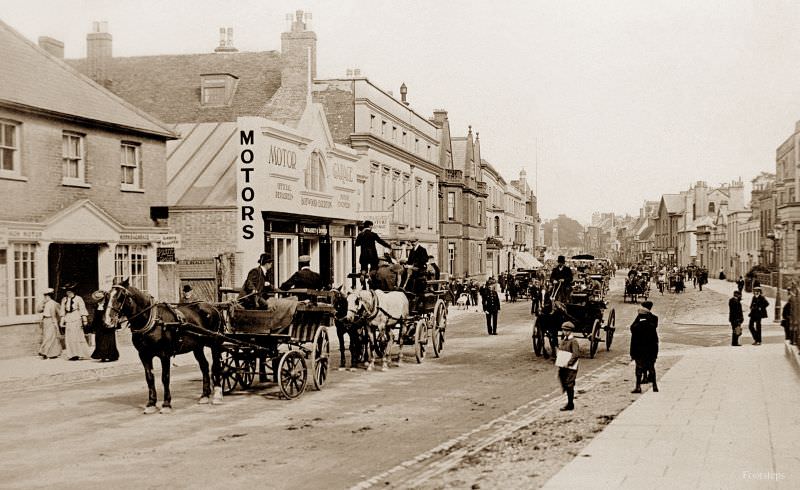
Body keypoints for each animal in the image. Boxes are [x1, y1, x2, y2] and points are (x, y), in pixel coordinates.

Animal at [104, 280, 225, 414]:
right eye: (107, 296)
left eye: (120, 297)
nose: (108, 320)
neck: (154, 321)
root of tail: (213, 307)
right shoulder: (144, 355)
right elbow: (149, 378)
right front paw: (151, 403)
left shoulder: (165, 355)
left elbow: (165, 378)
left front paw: (166, 404)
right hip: (197, 346)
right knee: (204, 366)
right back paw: (204, 395)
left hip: (215, 342)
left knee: (216, 365)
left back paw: (217, 395)